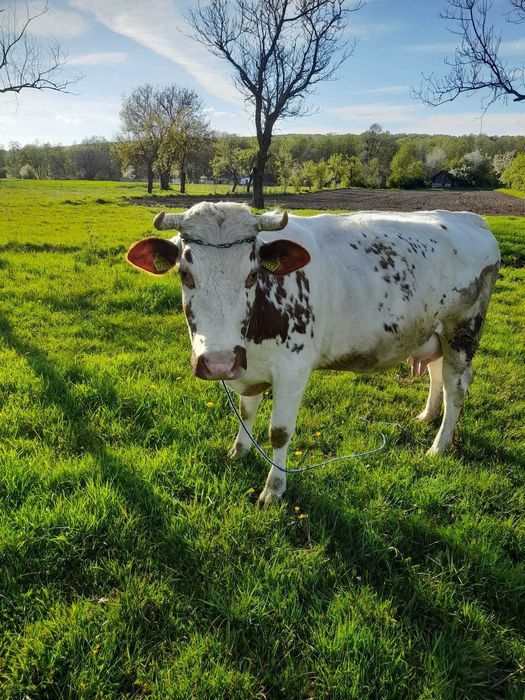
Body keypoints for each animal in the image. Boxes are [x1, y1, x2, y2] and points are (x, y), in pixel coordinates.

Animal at [127, 202, 500, 506]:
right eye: (185, 274)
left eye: (252, 273)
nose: (218, 362)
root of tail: (470, 219)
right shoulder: (246, 365)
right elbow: (246, 413)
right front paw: (238, 451)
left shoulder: (293, 370)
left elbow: (279, 432)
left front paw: (274, 489)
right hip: (433, 334)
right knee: (437, 375)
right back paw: (427, 416)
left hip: (461, 332)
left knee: (455, 389)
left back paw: (439, 446)